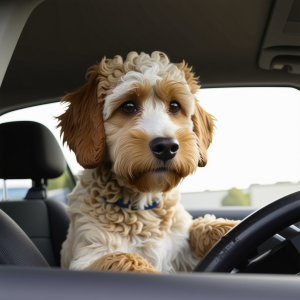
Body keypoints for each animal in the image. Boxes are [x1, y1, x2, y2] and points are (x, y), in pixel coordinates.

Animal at [57, 52, 238, 274]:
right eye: (128, 106)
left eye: (175, 106)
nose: (167, 146)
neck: (143, 207)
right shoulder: (88, 254)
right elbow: (124, 258)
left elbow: (202, 226)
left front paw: (229, 226)